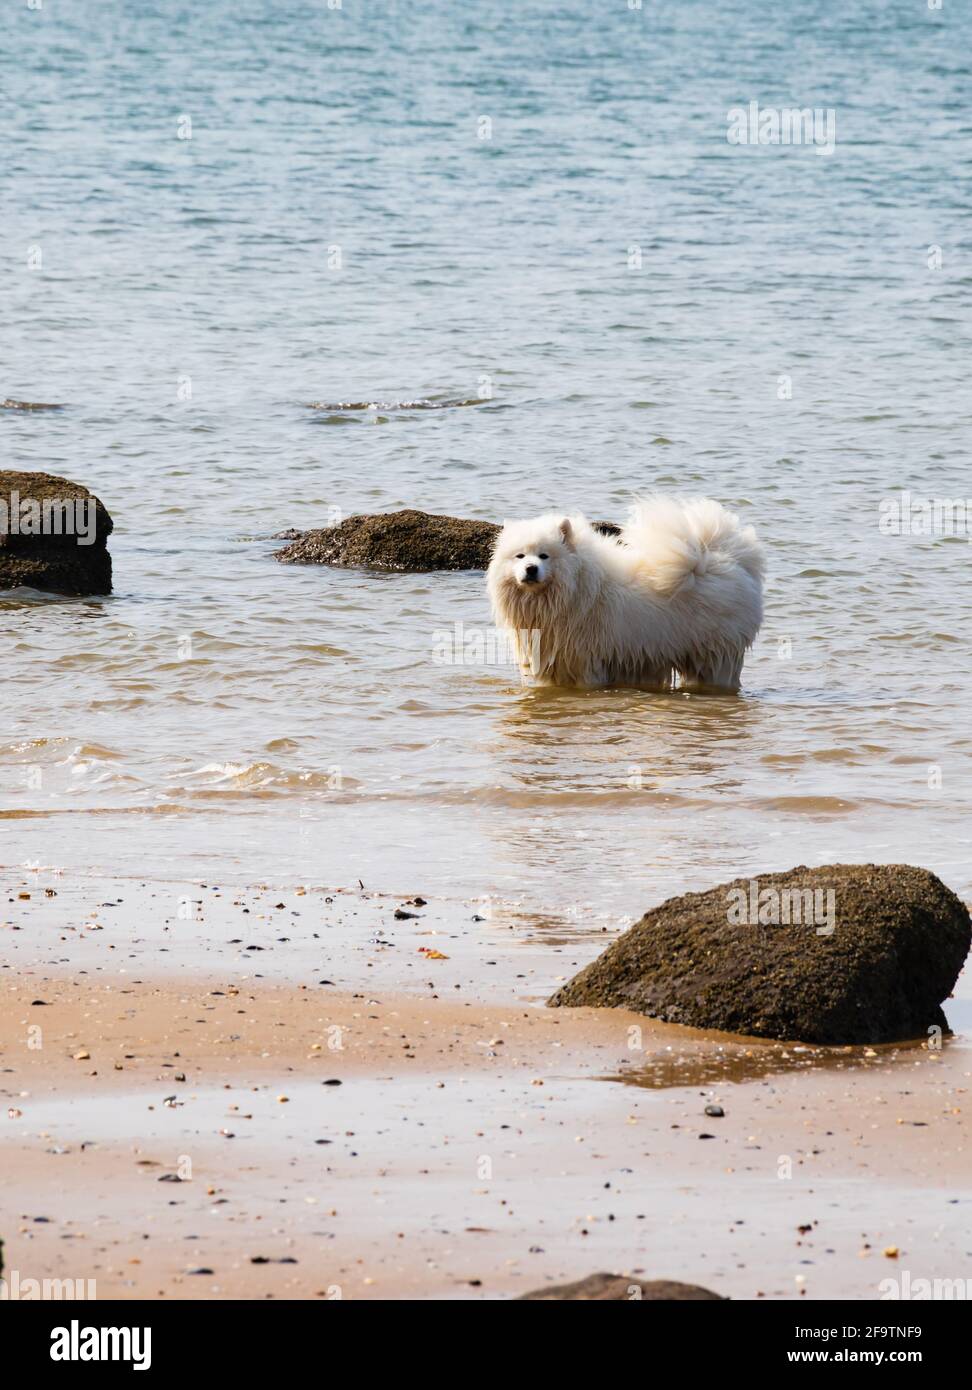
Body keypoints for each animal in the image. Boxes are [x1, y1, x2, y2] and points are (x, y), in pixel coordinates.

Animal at [489, 500, 762, 695]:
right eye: (520, 556)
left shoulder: (588, 663)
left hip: (714, 655)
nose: (531, 569)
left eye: (544, 556)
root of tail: (725, 561)